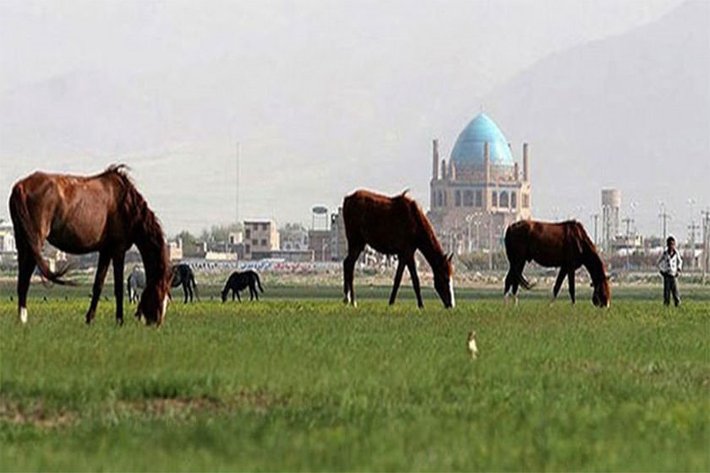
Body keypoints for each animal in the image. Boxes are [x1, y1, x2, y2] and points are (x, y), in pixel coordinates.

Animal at [10, 165, 174, 324]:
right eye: (160, 294)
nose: (156, 323)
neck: (126, 204)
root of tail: (20, 187)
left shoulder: (105, 251)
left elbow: (98, 285)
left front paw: (89, 319)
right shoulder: (118, 250)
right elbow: (118, 287)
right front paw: (119, 321)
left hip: (22, 243)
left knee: (21, 281)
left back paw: (20, 320)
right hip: (34, 243)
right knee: (24, 280)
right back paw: (23, 320)